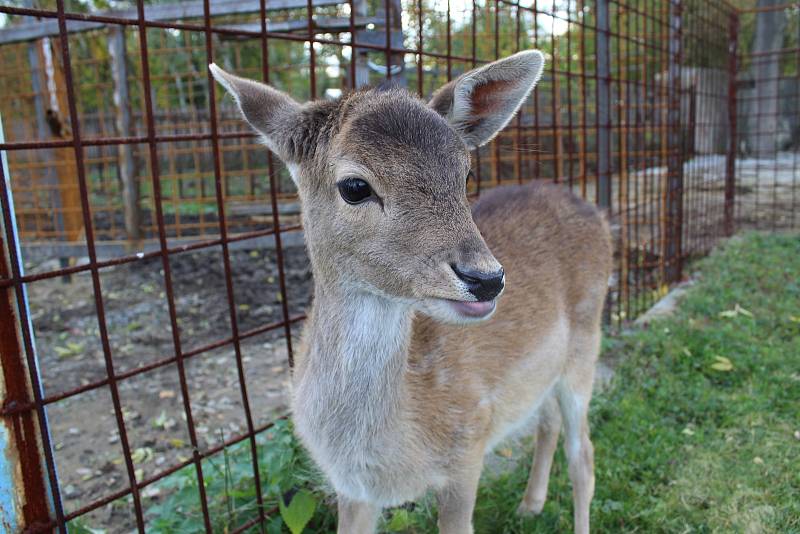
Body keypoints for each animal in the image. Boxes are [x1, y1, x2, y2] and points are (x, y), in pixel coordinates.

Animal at [209, 48, 608, 532]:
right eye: (354, 186)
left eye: (465, 173)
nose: (487, 278)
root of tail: (596, 211)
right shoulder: (350, 489)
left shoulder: (469, 444)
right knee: (546, 423)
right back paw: (529, 504)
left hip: (587, 345)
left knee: (584, 455)